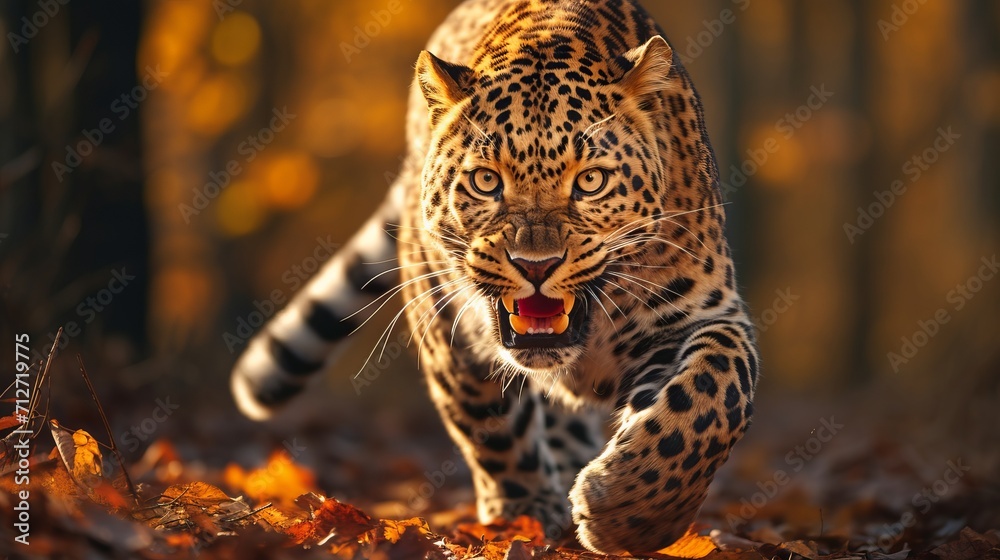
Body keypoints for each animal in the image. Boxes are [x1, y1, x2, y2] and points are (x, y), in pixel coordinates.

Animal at [230, 0, 759, 554]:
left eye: (591, 181)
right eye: (486, 181)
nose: (536, 265)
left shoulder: (698, 311)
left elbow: (716, 394)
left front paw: (631, 510)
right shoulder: (443, 318)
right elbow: (488, 424)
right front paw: (522, 515)